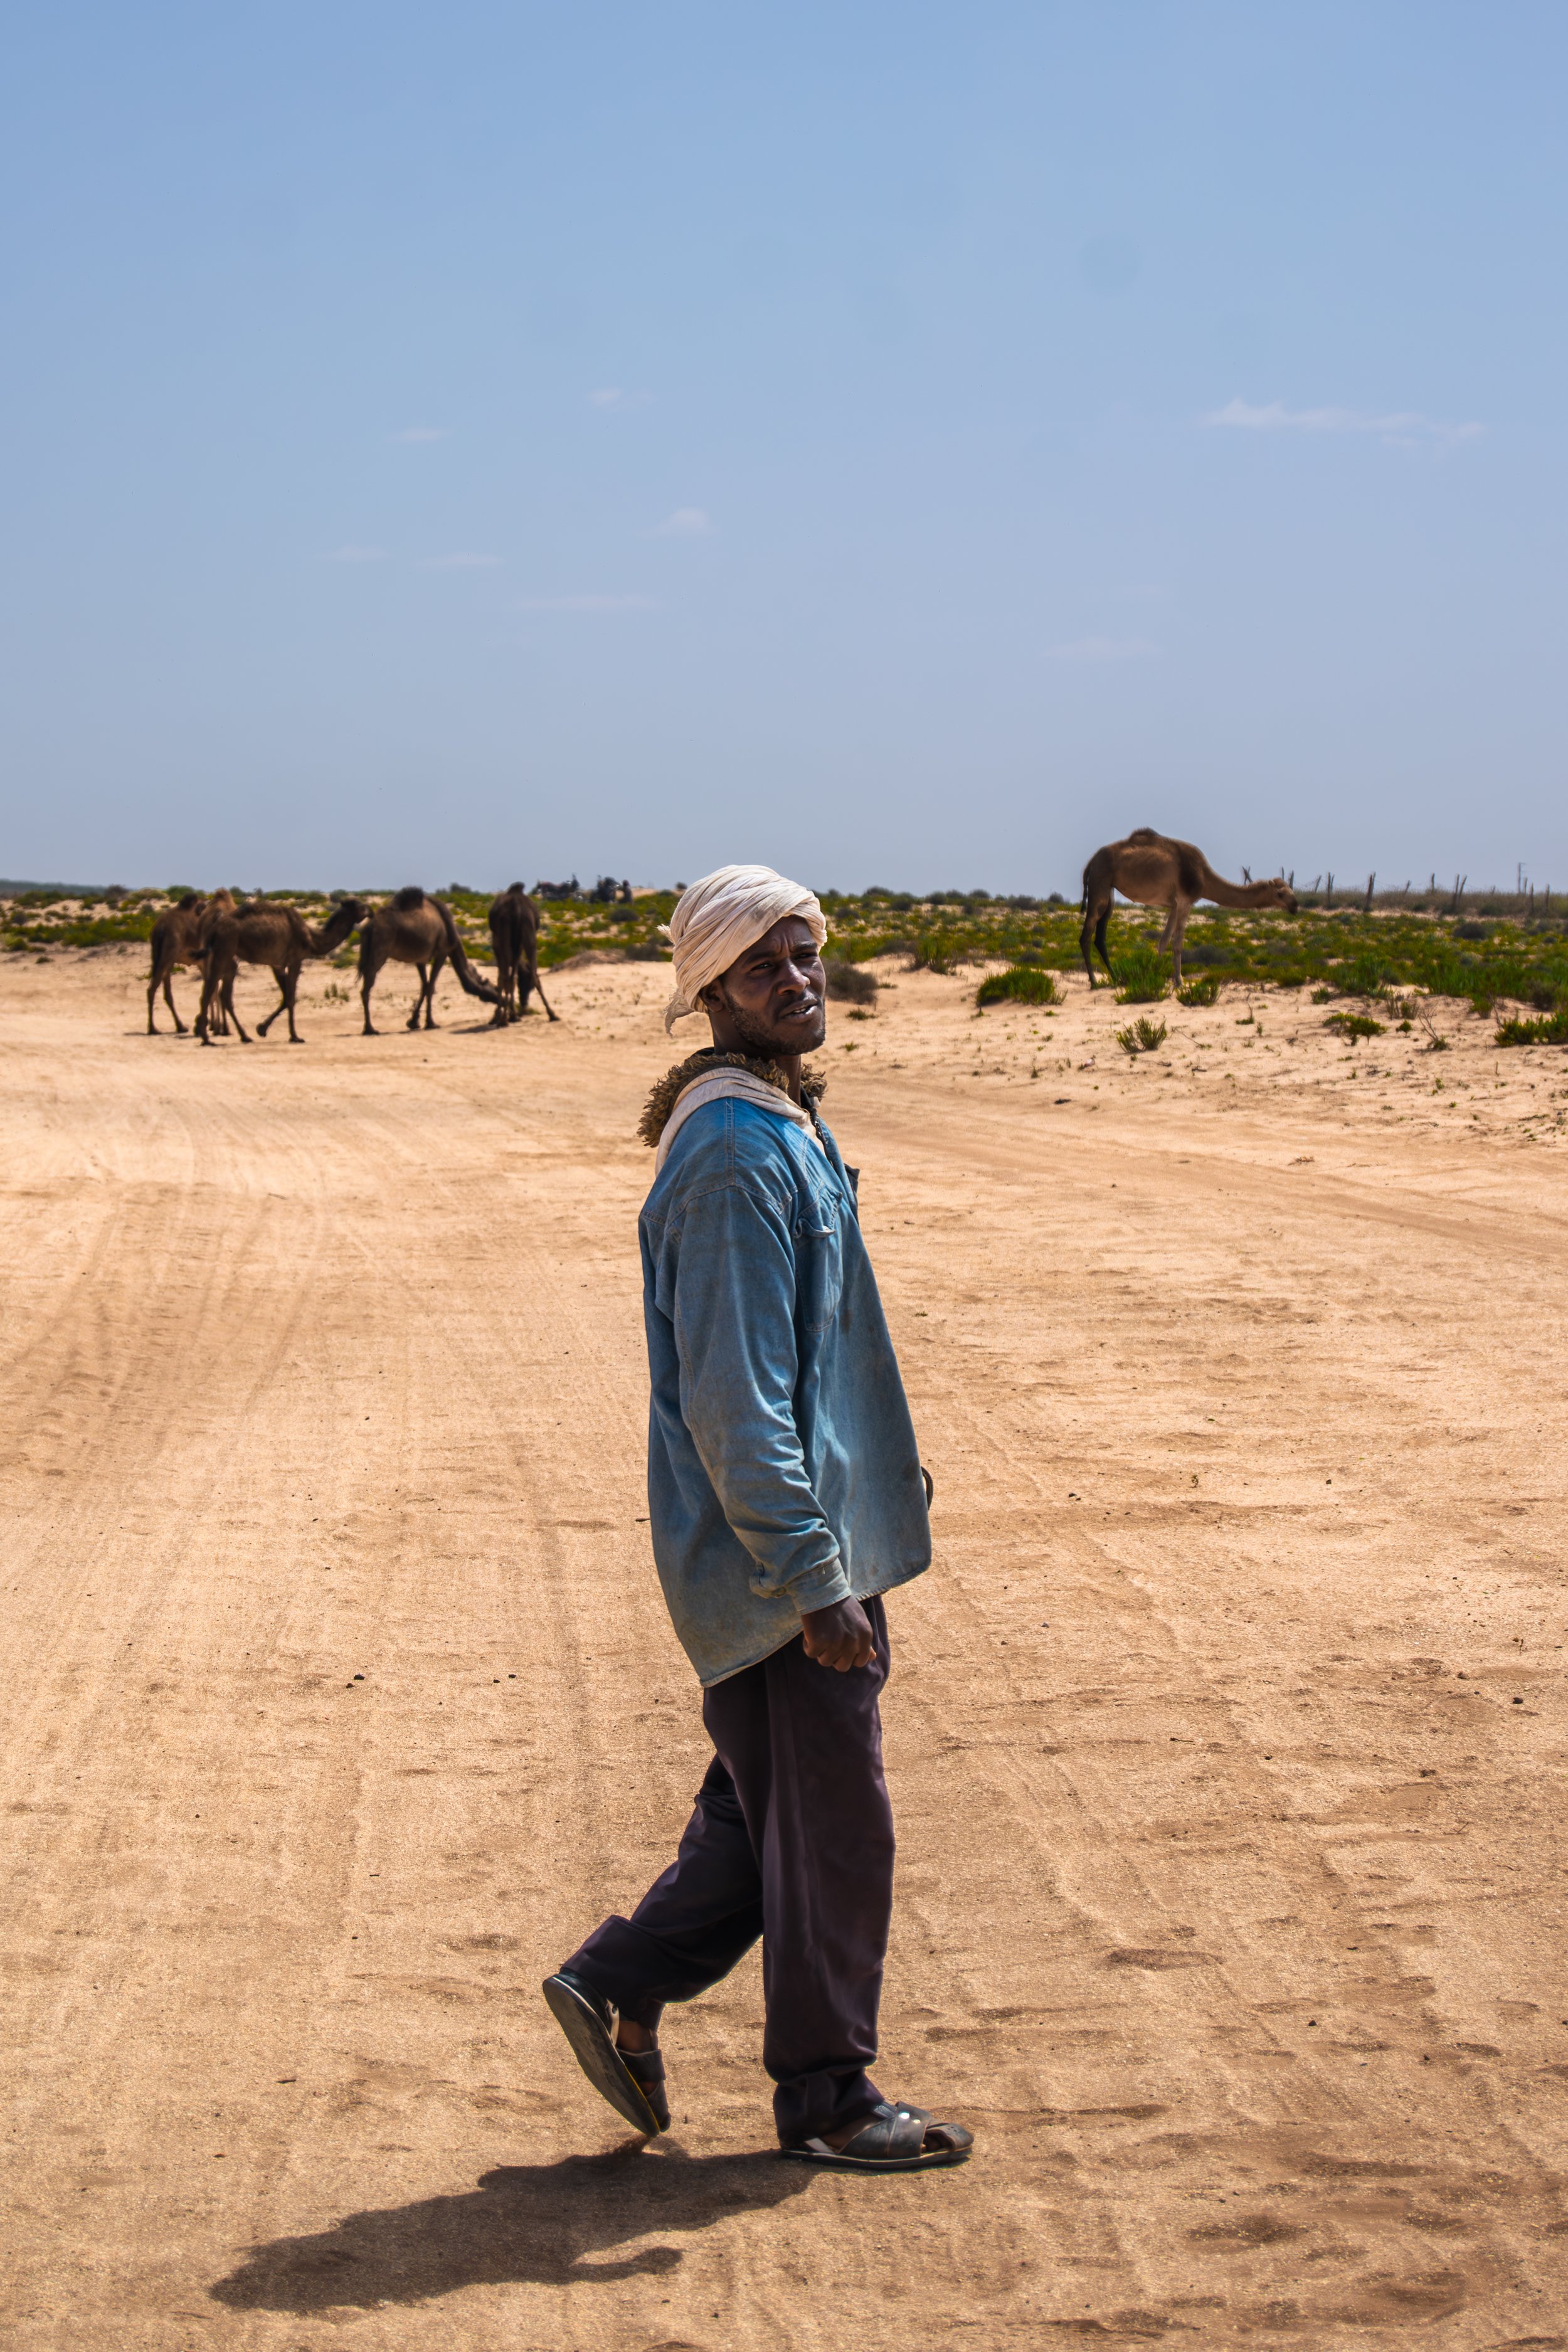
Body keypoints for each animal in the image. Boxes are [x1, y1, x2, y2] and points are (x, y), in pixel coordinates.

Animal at [196, 896, 368, 1044]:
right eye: (361, 907)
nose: (370, 911)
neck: (312, 938)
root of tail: (215, 928)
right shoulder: (295, 960)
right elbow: (291, 998)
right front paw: (295, 1037)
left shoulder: (278, 965)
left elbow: (286, 997)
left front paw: (262, 1029)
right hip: (225, 947)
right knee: (210, 990)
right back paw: (207, 1039)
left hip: (227, 954)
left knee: (223, 994)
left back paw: (243, 1037)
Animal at [357, 888, 504, 1035]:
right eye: (494, 989)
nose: (501, 1000)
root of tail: (369, 927)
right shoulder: (443, 951)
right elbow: (431, 987)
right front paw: (431, 1023)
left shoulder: (420, 959)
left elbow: (425, 986)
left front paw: (413, 1022)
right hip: (379, 952)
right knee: (367, 987)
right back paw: (370, 1029)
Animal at [486, 883, 558, 1025]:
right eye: (527, 985)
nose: (524, 1003)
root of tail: (516, 907)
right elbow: (510, 977)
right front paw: (508, 1015)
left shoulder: (498, 947)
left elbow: (502, 978)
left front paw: (498, 1016)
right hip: (528, 934)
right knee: (533, 974)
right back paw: (552, 1014)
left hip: (508, 939)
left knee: (507, 977)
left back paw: (505, 1019)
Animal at [1080, 829, 1297, 987]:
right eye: (1280, 893)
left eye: (1290, 890)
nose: (1295, 905)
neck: (1203, 877)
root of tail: (1090, 862)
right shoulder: (1185, 901)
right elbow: (1177, 943)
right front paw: (1179, 981)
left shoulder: (1175, 905)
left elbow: (1163, 941)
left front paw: (1155, 975)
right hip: (1100, 880)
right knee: (1087, 932)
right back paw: (1094, 981)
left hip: (1108, 888)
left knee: (1101, 934)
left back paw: (1115, 977)